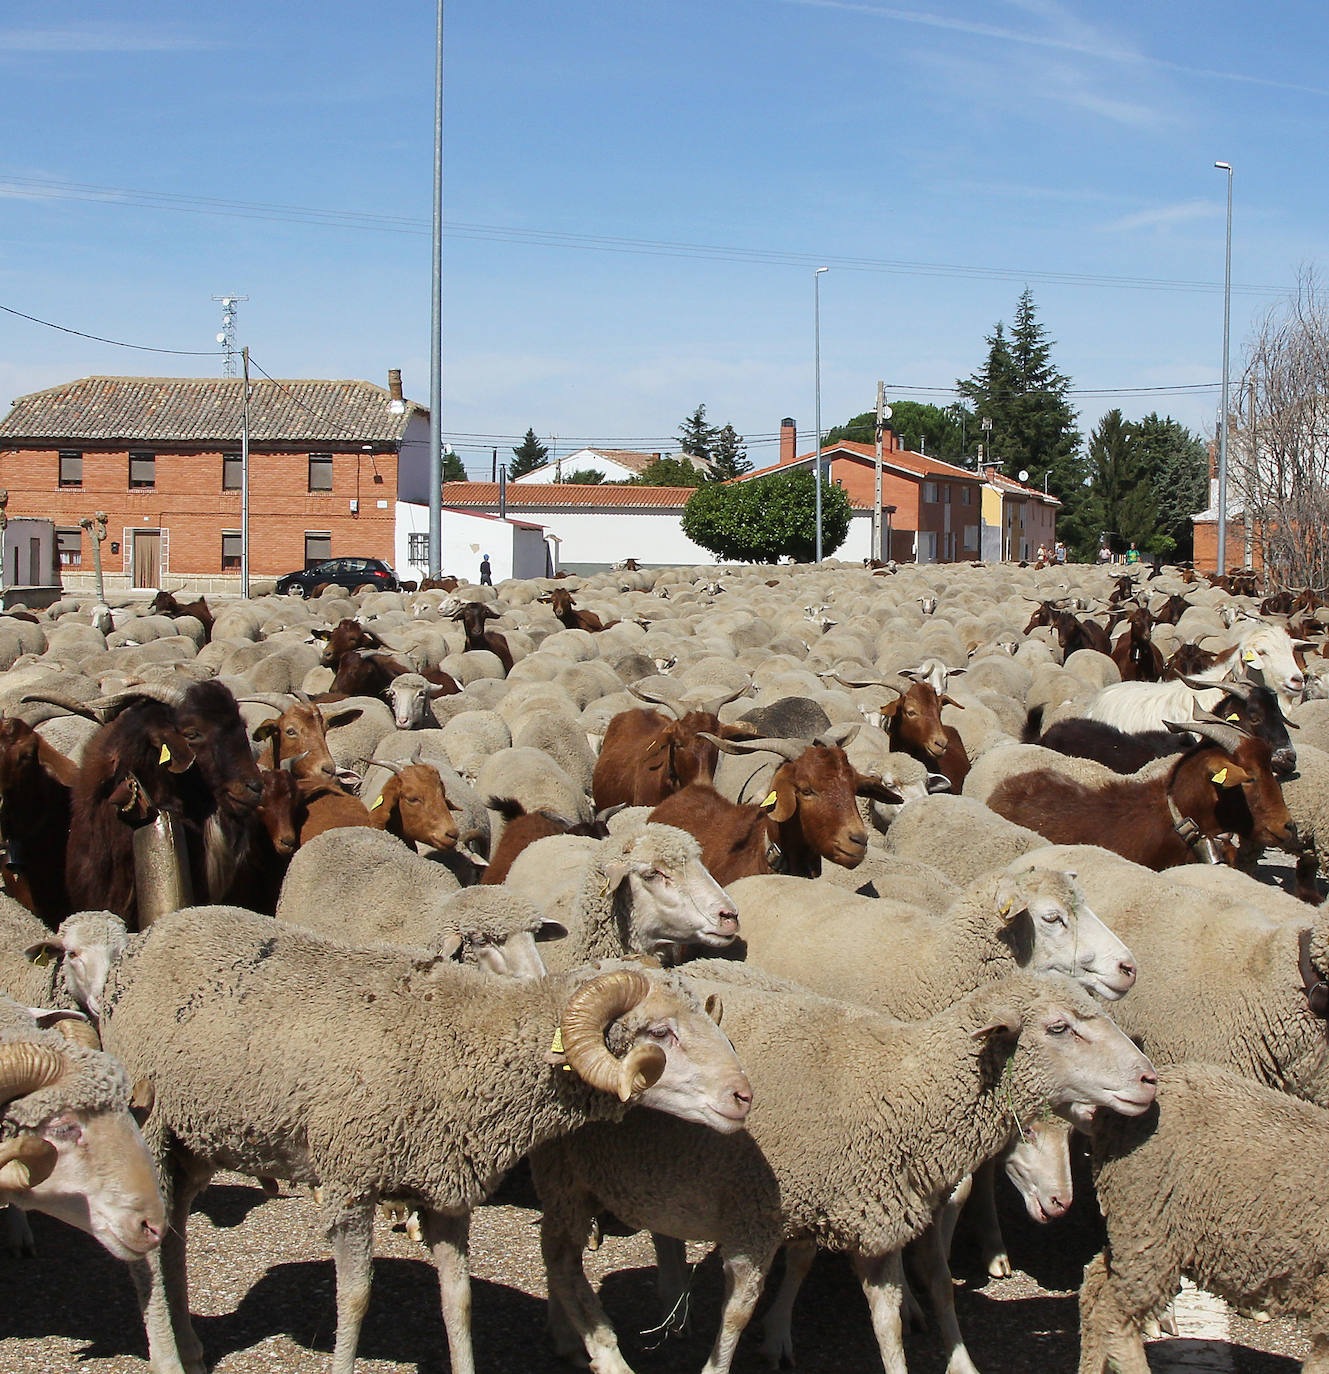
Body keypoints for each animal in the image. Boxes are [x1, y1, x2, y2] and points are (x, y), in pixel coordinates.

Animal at [98, 906, 753, 1374]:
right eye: (659, 1034)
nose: (744, 1095)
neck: (460, 1041)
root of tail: (145, 939)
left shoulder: (447, 1188)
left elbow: (457, 1300)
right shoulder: (350, 1181)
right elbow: (355, 1299)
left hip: (194, 1139)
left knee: (173, 1238)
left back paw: (190, 1344)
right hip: (147, 1128)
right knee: (144, 1259)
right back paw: (166, 1358)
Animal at [530, 961, 1154, 1374]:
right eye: (1058, 1027)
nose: (1149, 1079)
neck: (899, 1089)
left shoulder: (872, 1224)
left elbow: (887, 1322)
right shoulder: (755, 1217)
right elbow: (737, 1314)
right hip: (563, 1177)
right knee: (558, 1259)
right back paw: (575, 1335)